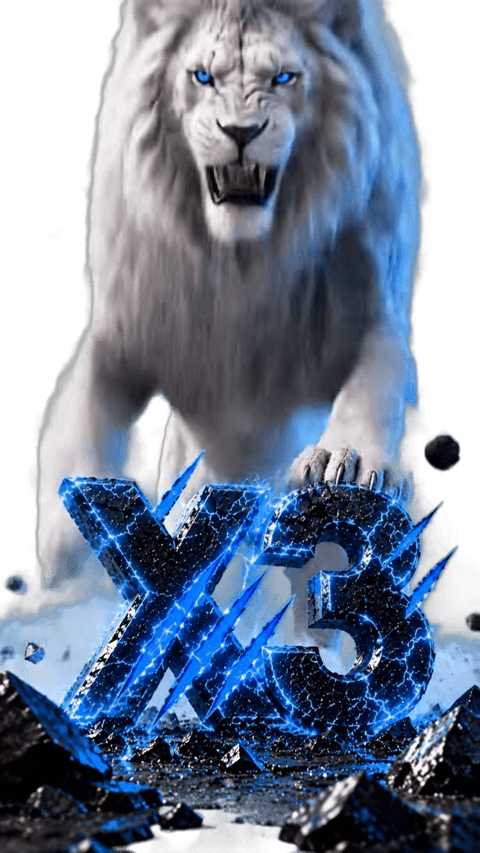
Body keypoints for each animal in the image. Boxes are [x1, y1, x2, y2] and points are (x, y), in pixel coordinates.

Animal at [37, 0, 421, 647]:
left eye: (284, 78)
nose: (241, 133)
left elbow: (374, 384)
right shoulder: (121, 337)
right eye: (202, 77)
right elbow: (74, 421)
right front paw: (72, 547)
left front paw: (344, 460)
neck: (243, 265)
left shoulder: (373, 316)